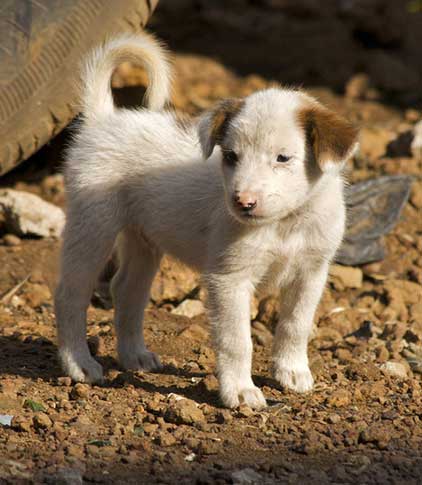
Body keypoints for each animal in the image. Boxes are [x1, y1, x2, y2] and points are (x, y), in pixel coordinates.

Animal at [55, 31, 360, 408]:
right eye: (230, 156)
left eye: (282, 158)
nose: (242, 202)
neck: (285, 223)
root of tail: (104, 119)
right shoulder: (229, 280)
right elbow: (237, 342)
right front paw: (240, 391)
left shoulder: (311, 272)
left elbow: (296, 324)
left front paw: (291, 371)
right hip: (92, 225)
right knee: (71, 294)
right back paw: (78, 363)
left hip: (143, 239)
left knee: (126, 290)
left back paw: (134, 355)